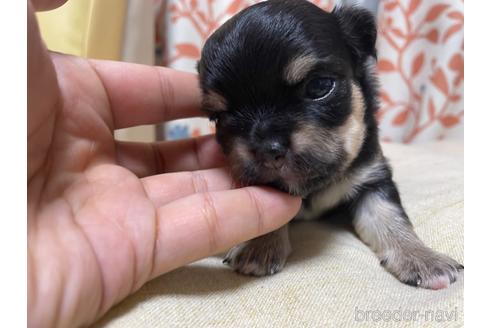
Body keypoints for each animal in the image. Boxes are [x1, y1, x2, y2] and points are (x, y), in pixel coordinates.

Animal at [196, 0, 462, 290]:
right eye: (220, 117)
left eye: (319, 86)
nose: (269, 148)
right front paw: (260, 246)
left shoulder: (372, 178)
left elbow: (389, 215)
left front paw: (421, 258)